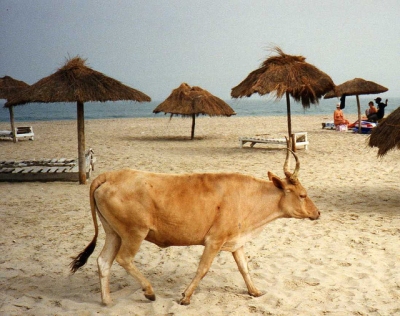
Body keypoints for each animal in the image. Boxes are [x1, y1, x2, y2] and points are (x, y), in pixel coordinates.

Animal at [69, 149, 318, 306]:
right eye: (302, 195)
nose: (317, 212)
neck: (247, 196)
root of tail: (109, 175)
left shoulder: (236, 241)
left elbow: (244, 268)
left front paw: (255, 291)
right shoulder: (214, 241)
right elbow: (203, 269)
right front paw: (186, 297)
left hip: (114, 233)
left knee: (104, 262)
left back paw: (107, 301)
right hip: (134, 233)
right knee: (124, 259)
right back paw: (149, 291)